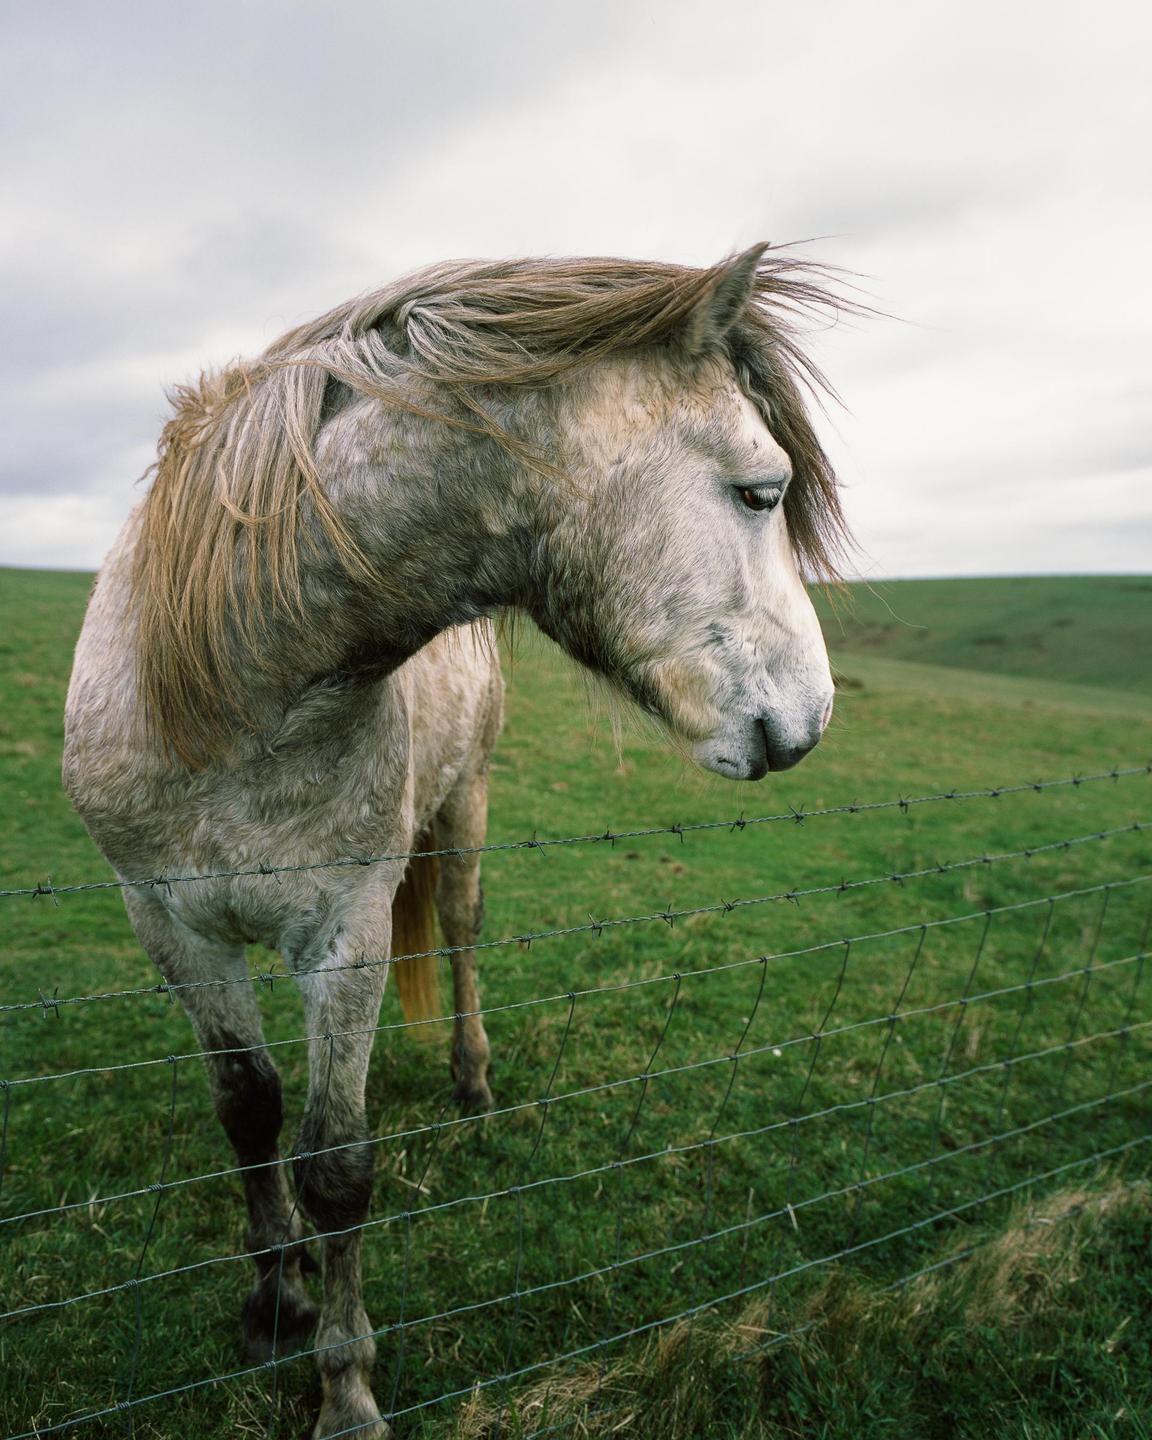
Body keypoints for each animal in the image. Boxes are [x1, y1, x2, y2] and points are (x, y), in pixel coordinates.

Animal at [63, 243, 851, 1438]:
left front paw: (346, 1390)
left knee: (464, 933)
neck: (234, 686)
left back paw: (473, 1083)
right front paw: (276, 1299)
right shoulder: (168, 924)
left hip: (465, 805)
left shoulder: (343, 932)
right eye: (761, 490)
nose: (811, 721)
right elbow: (249, 1114)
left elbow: (337, 1165)